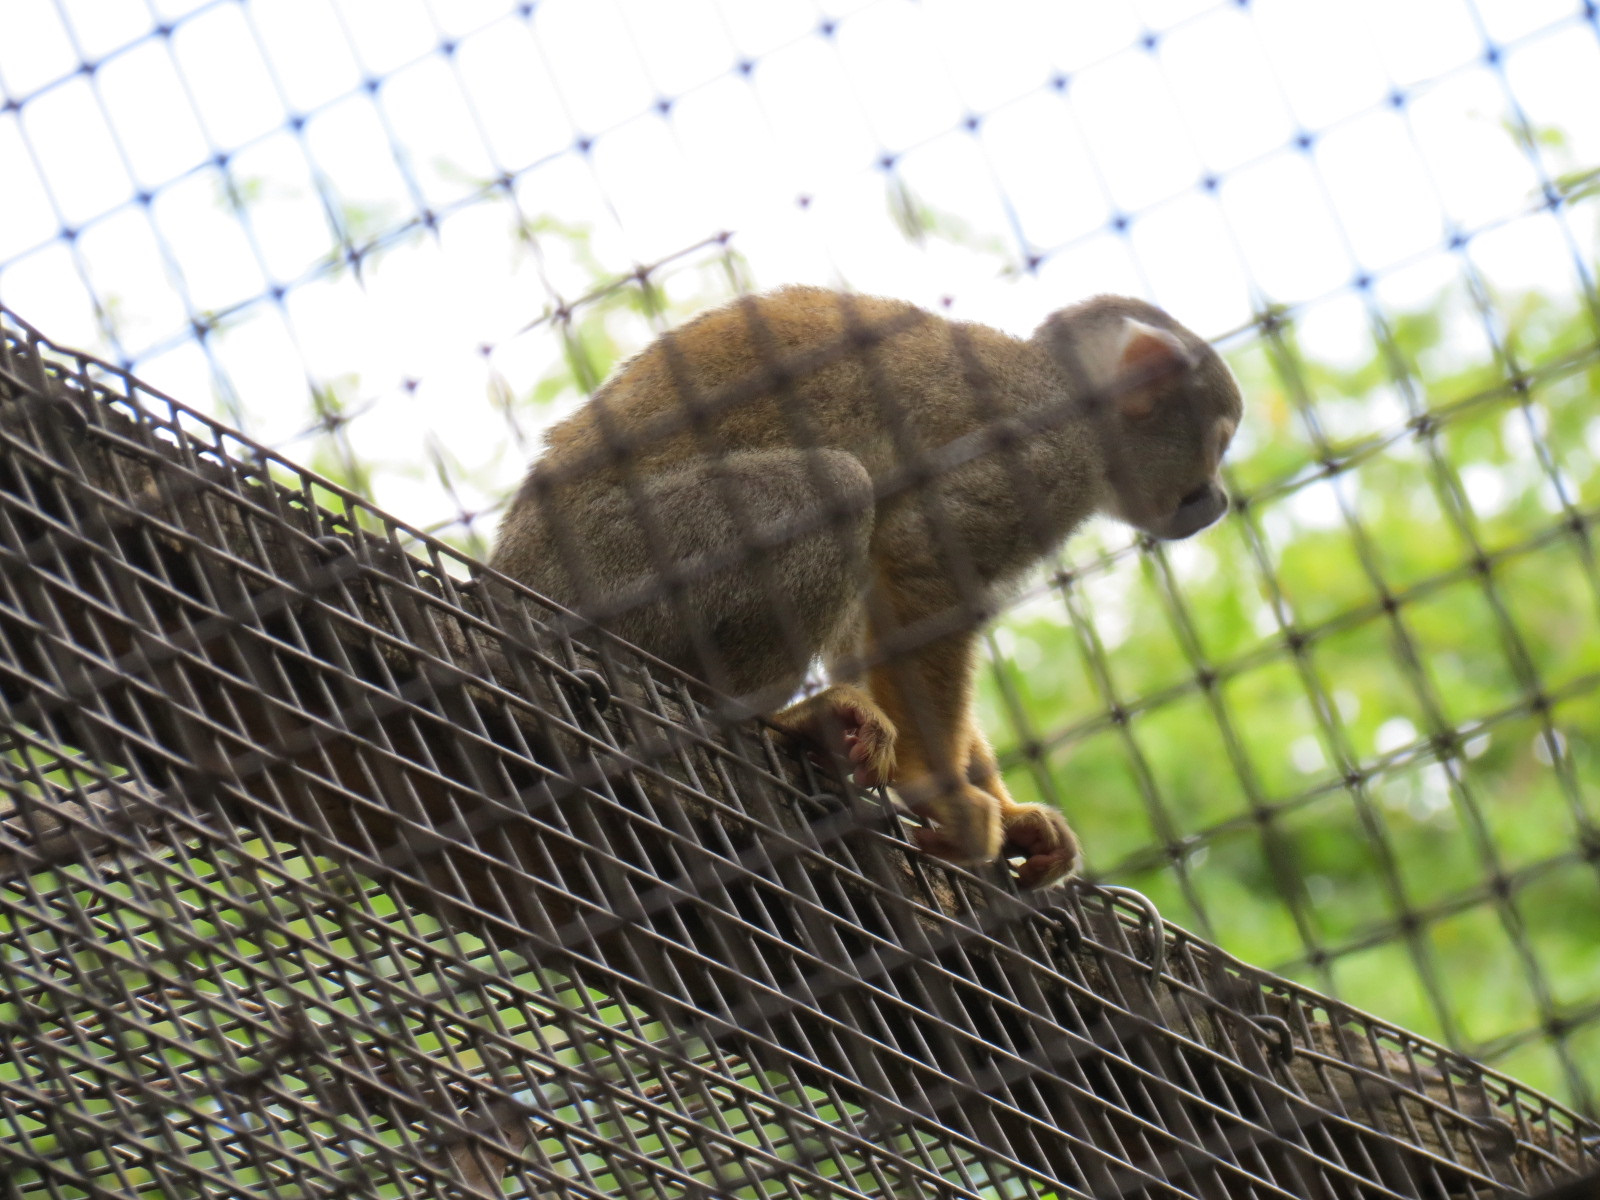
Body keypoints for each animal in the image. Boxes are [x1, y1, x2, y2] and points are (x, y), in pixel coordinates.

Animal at [490, 286, 1242, 888]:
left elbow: (876, 607)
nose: (1218, 501)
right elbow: (922, 565)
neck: (1069, 399)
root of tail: (510, 570)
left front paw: (1009, 809)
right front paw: (937, 788)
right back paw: (773, 719)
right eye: (1216, 444)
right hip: (609, 565)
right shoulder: (1041, 458)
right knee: (835, 489)